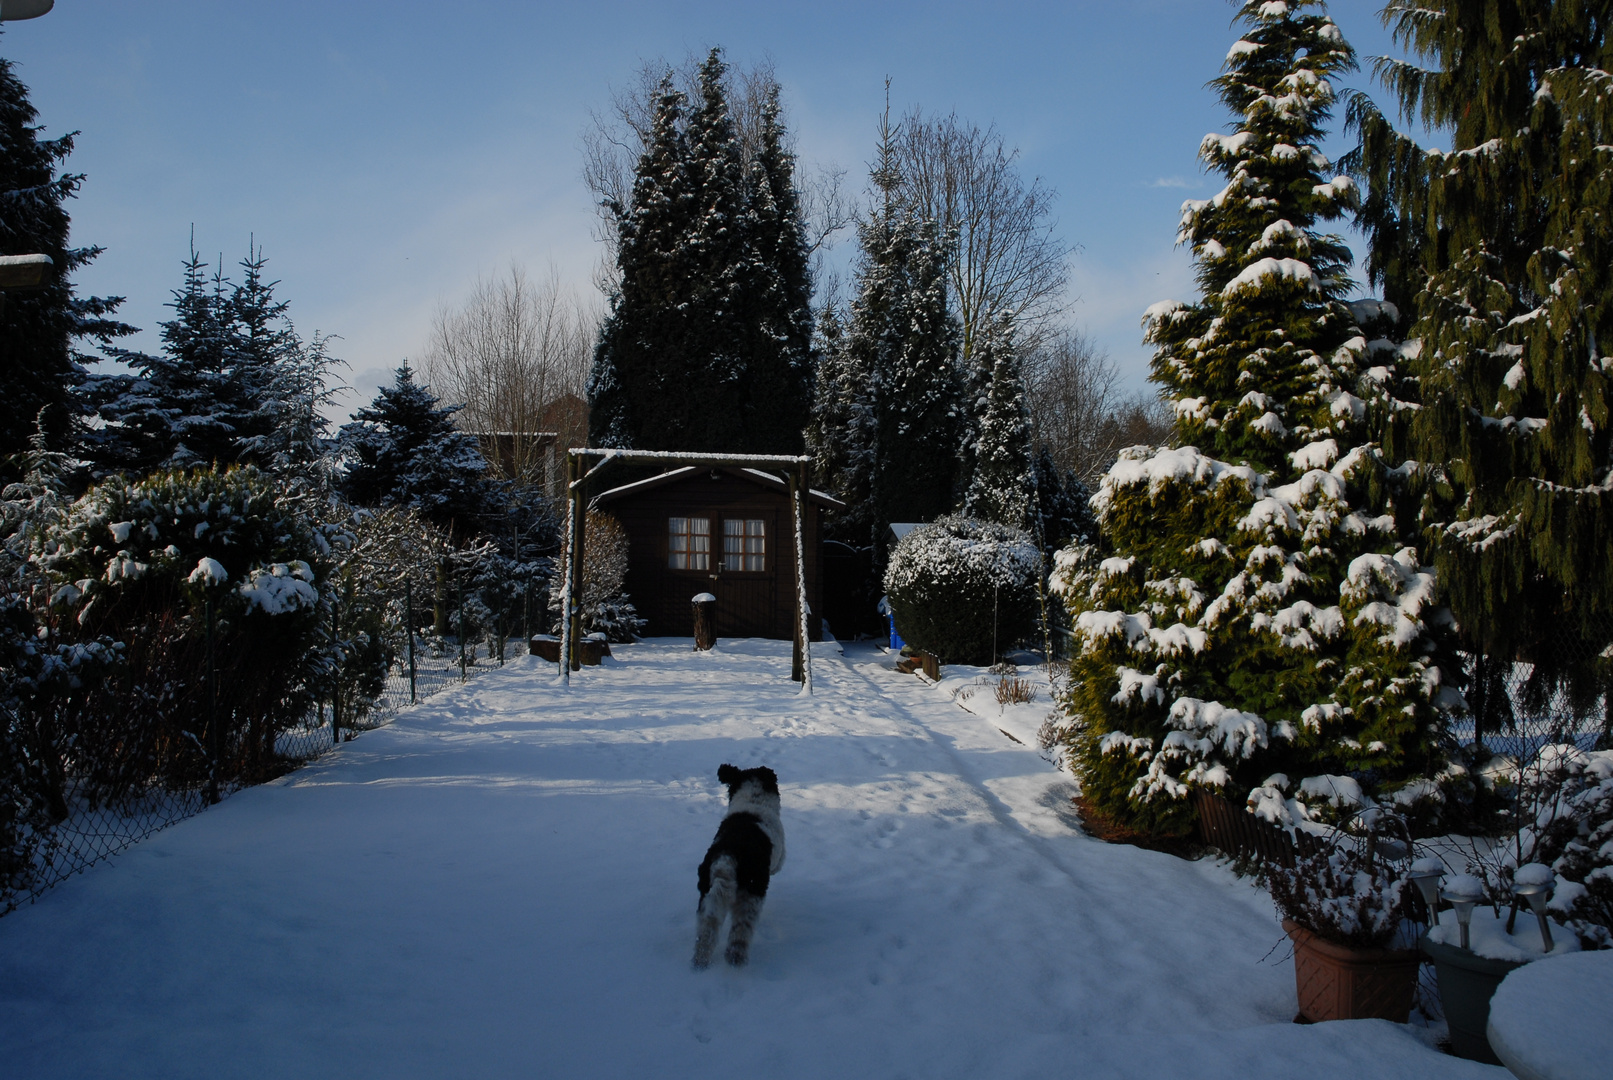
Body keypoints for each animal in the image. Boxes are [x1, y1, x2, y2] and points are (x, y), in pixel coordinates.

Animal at [693, 767, 787, 967]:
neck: (753, 798)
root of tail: (727, 858)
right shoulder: (781, 854)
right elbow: (779, 864)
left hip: (707, 897)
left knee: (706, 931)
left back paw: (699, 962)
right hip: (751, 895)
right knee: (740, 933)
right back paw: (736, 960)